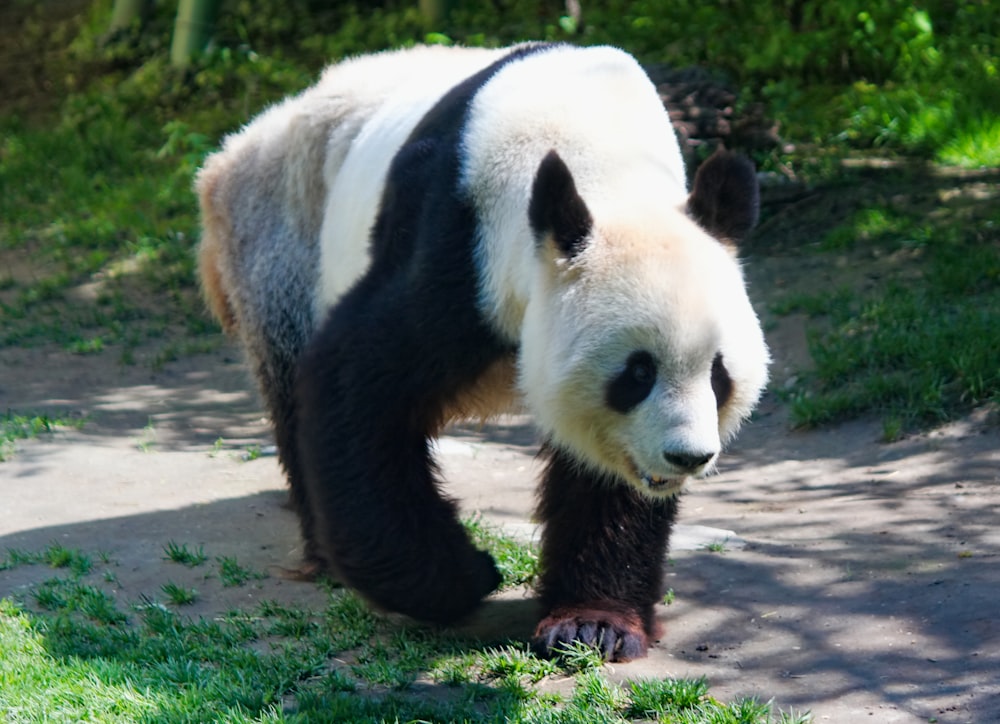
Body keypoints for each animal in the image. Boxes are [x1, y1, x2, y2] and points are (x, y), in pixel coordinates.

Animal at [197, 41, 772, 660]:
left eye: (718, 374)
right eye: (637, 372)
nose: (688, 456)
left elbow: (607, 476)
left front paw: (592, 624)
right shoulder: (457, 247)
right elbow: (354, 384)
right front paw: (465, 576)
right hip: (281, 238)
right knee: (291, 384)